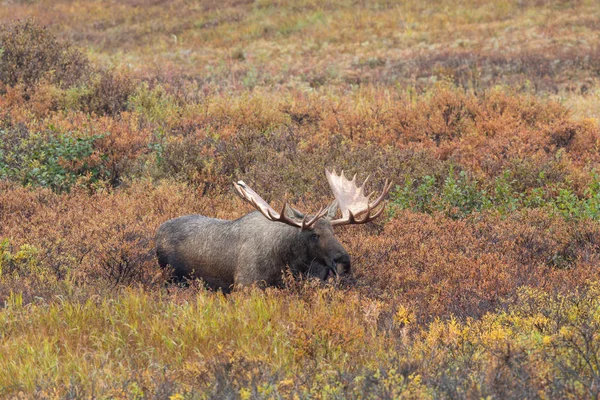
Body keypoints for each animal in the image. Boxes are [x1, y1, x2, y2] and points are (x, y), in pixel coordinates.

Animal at [155, 170, 392, 290]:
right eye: (314, 235)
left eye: (334, 233)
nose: (344, 262)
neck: (289, 261)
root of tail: (158, 232)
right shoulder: (245, 285)